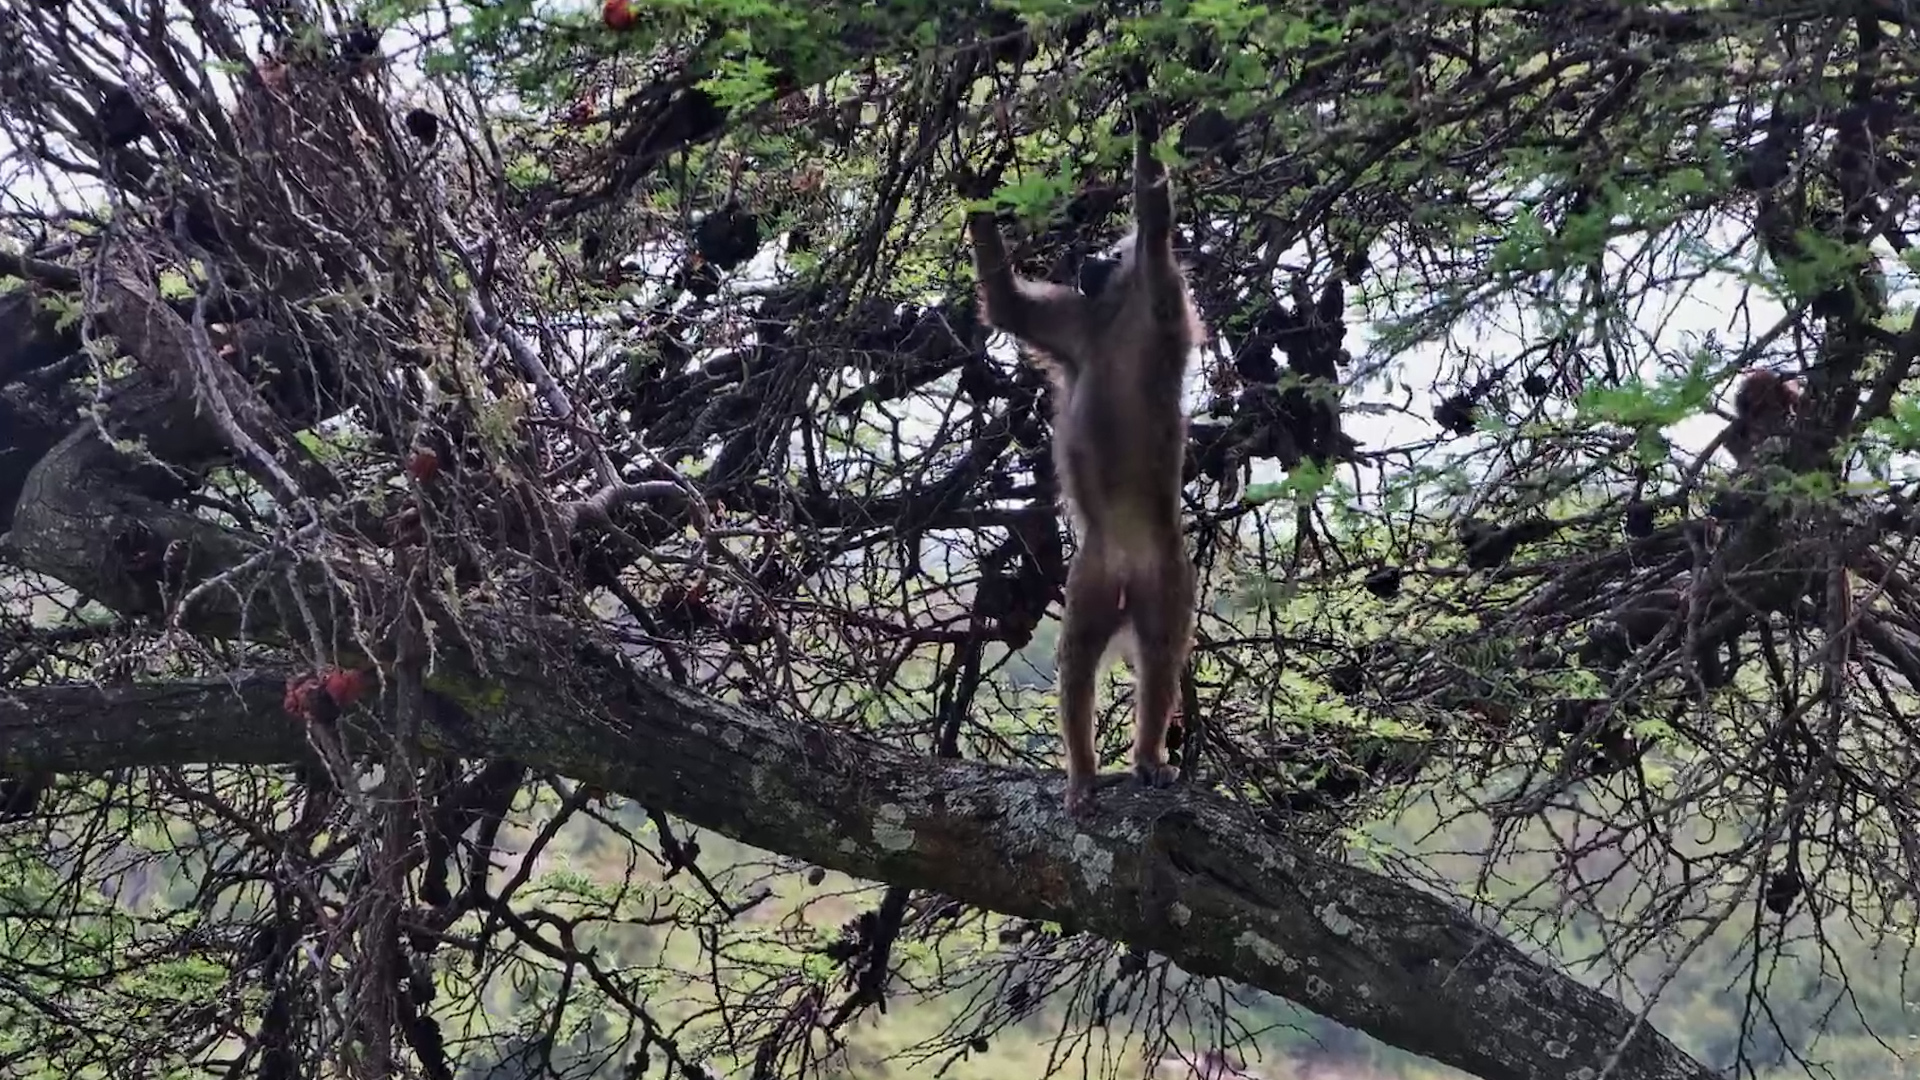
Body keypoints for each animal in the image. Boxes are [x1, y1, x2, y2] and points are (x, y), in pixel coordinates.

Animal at [962, 104, 1206, 816]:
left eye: (1105, 252)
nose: (1086, 258)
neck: (1116, 313)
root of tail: (1125, 566)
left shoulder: (1157, 288)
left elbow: (1155, 217)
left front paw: (1145, 119)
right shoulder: (1078, 324)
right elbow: (1009, 305)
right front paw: (976, 196)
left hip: (1167, 578)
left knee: (1159, 659)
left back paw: (1146, 754)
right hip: (1092, 580)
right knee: (1079, 663)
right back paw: (1084, 770)